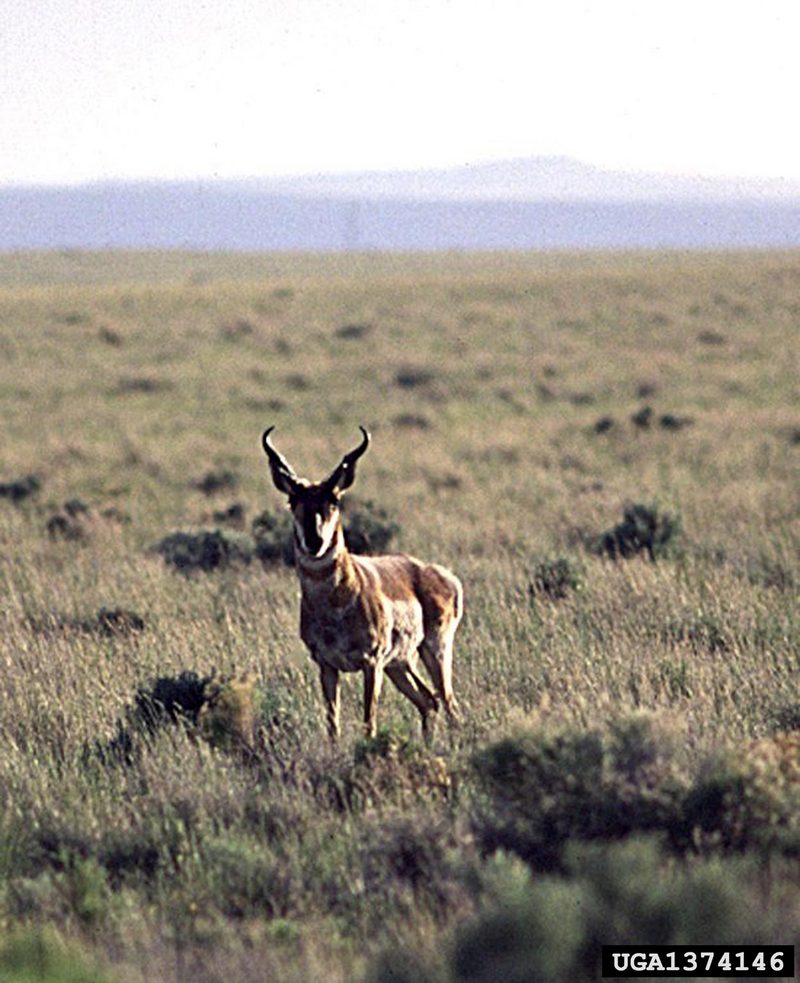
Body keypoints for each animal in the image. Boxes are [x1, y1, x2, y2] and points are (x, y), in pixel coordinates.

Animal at [262, 426, 462, 740]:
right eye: (293, 500)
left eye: (334, 500)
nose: (314, 542)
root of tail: (443, 575)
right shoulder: (327, 666)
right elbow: (332, 723)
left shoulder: (371, 663)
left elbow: (369, 721)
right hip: (400, 664)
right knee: (429, 701)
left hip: (433, 652)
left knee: (450, 704)